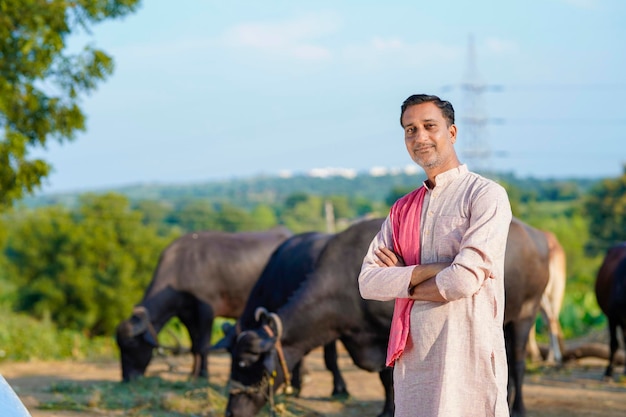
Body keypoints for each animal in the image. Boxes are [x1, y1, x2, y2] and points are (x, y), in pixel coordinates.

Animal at [114, 226, 290, 382]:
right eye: (119, 346)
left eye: (131, 343)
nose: (127, 377)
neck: (181, 268)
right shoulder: (186, 315)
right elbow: (194, 346)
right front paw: (193, 374)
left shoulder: (206, 310)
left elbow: (203, 345)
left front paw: (203, 374)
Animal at [224, 216, 544, 416]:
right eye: (233, 361)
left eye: (249, 364)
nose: (231, 411)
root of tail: (536, 238)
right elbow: (381, 376)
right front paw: (385, 408)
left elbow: (389, 376)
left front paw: (390, 409)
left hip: (526, 315)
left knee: (517, 362)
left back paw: (518, 408)